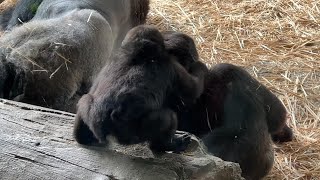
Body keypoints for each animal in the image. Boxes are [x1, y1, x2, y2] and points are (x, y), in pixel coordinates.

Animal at [72, 25, 208, 154]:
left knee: (85, 99)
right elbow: (193, 89)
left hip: (91, 112)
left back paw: (82, 137)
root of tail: (100, 124)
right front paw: (201, 66)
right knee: (167, 118)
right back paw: (165, 145)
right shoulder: (172, 67)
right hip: (131, 134)